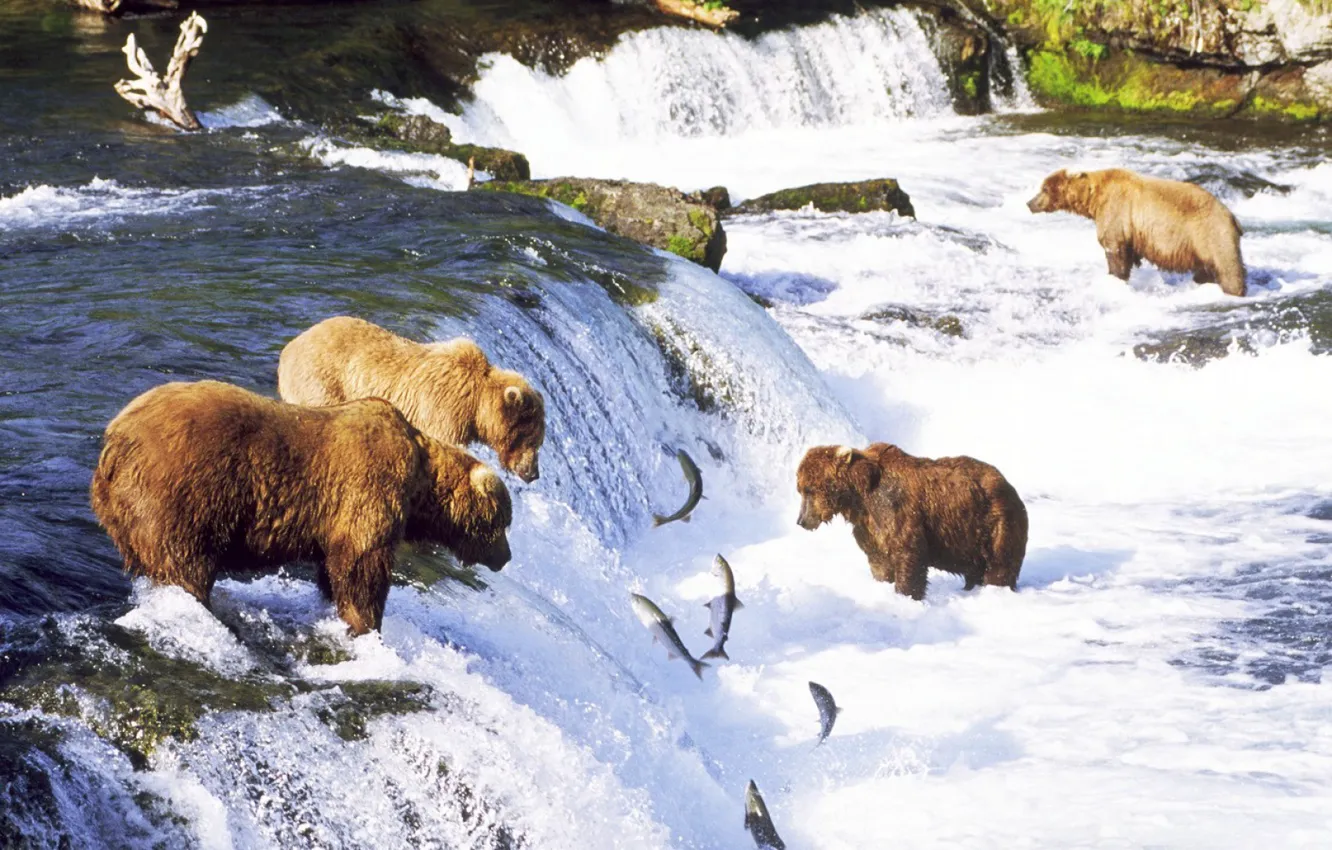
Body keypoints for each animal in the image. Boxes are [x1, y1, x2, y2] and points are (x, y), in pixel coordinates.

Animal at [89, 383, 514, 636]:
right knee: (184, 563)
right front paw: (367, 624)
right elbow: (362, 565)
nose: (506, 557)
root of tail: (114, 438)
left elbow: (333, 566)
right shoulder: (368, 491)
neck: (420, 485)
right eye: (504, 521)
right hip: (181, 495)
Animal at [275, 317, 546, 482]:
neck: (476, 406)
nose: (533, 473)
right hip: (322, 382)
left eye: (539, 441)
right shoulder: (443, 411)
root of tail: (289, 348)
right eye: (532, 439)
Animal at [793, 442, 1022, 602]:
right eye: (801, 489)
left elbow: (908, 552)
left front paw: (906, 594)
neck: (859, 497)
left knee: (999, 565)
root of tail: (1008, 484)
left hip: (994, 523)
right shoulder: (868, 527)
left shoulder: (895, 509)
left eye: (809, 489)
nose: (801, 520)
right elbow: (879, 561)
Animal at [1022, 167, 1241, 298]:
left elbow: (1114, 249)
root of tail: (1231, 215)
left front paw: (1114, 278)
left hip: (1210, 233)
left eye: (1044, 189)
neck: (1093, 199)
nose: (1029, 203)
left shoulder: (1116, 211)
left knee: (1228, 267)